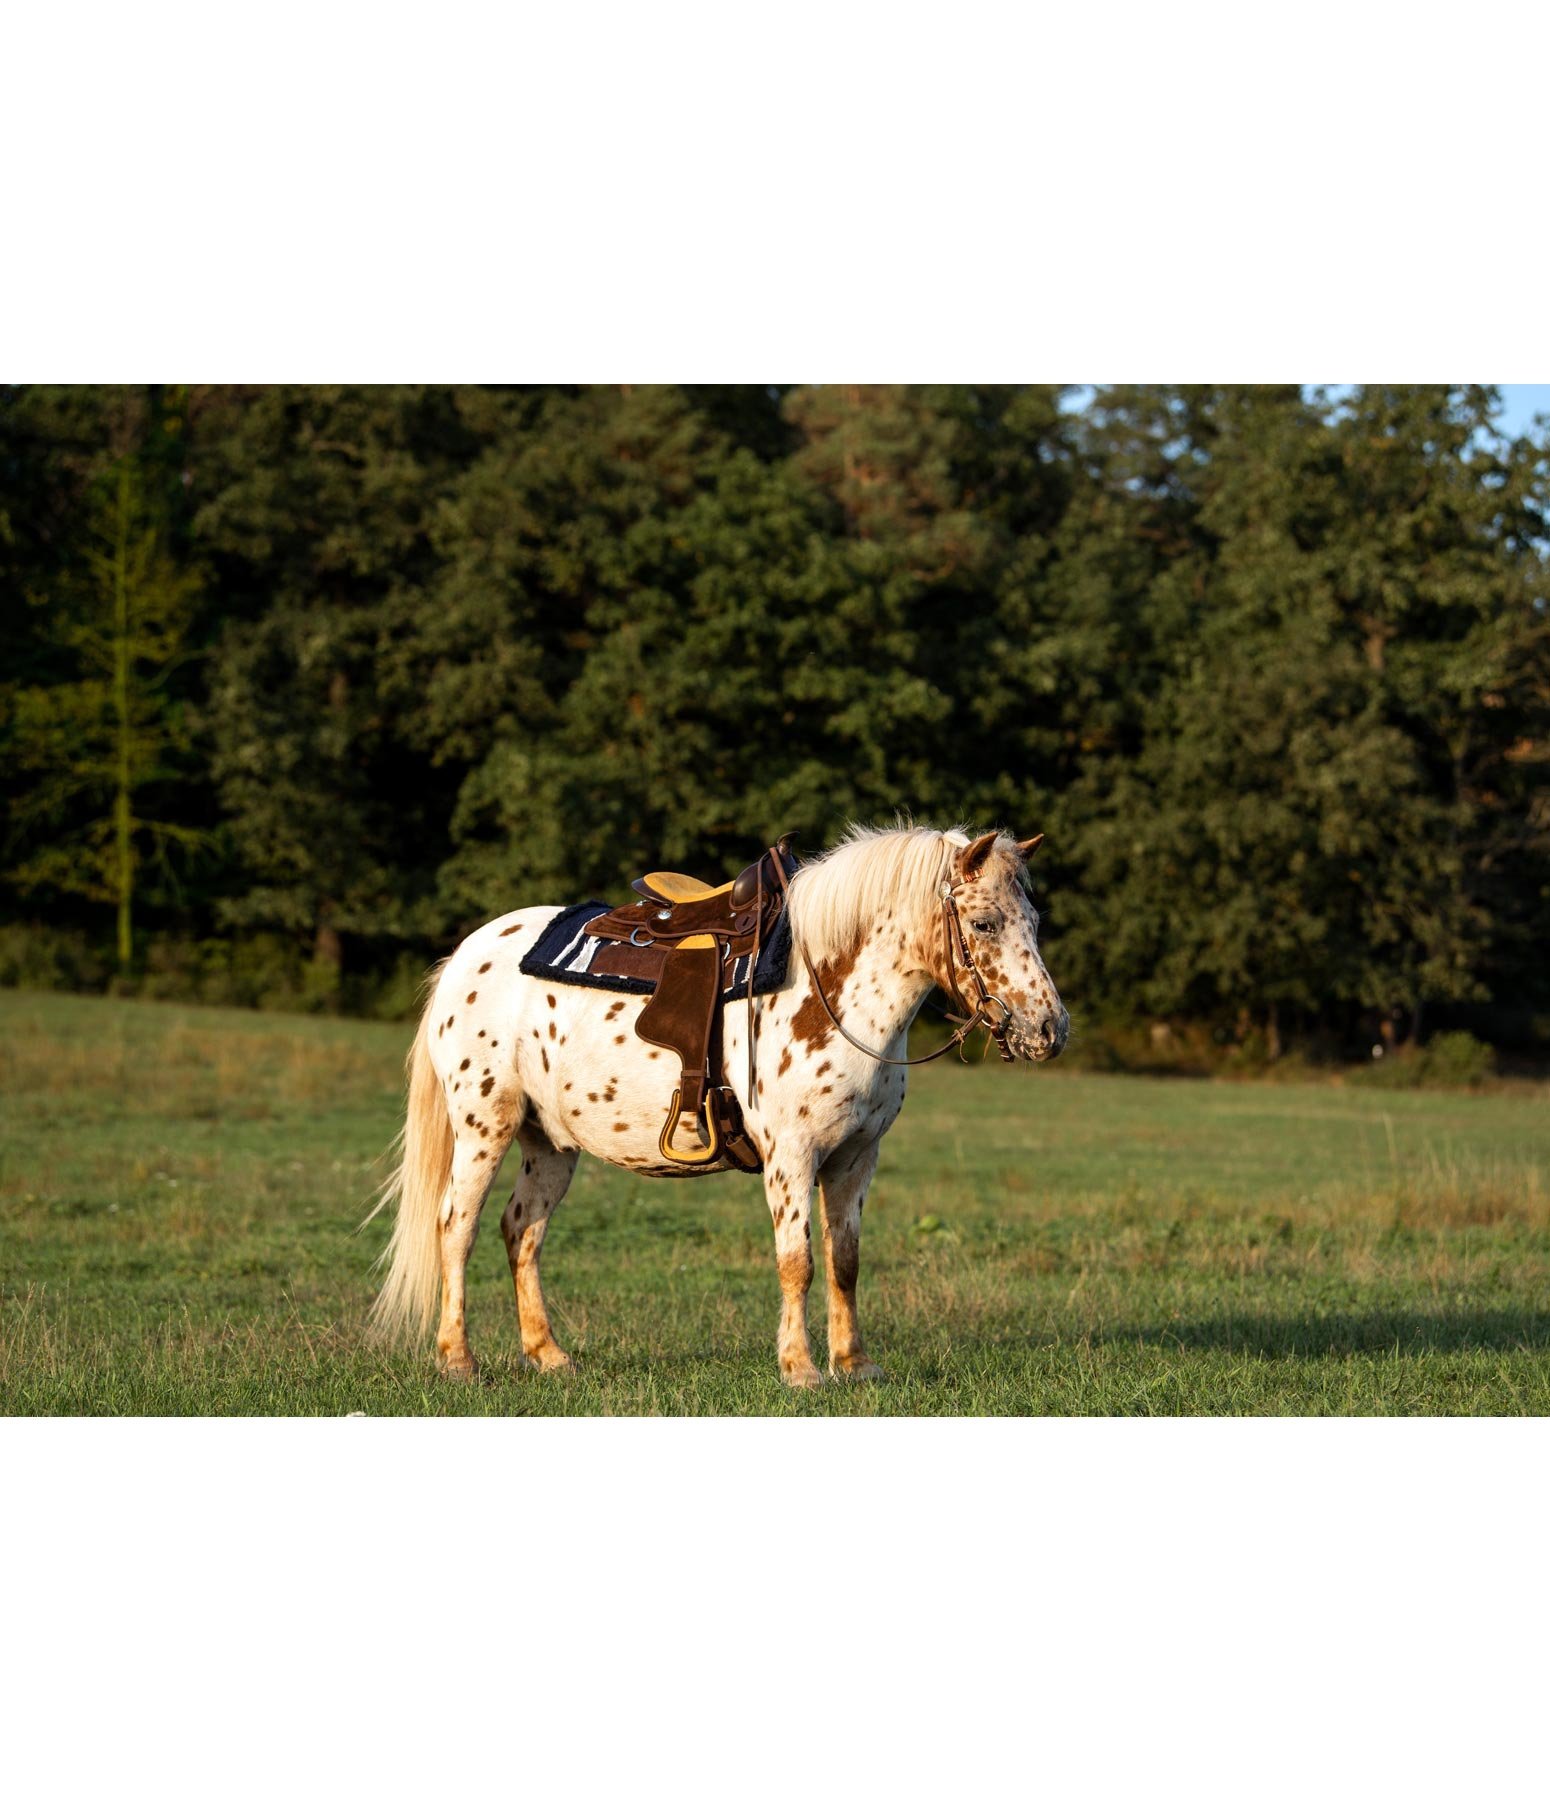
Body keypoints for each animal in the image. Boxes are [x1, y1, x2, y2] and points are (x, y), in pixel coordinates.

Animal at [365, 822, 1069, 1387]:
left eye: (1033, 924)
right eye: (984, 923)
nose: (1049, 1030)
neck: (831, 990)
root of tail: (467, 954)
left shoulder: (855, 1157)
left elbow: (845, 1261)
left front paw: (855, 1365)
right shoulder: (791, 1156)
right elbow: (797, 1262)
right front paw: (801, 1369)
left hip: (552, 1143)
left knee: (522, 1229)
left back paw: (549, 1355)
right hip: (485, 1126)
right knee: (457, 1226)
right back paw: (458, 1360)